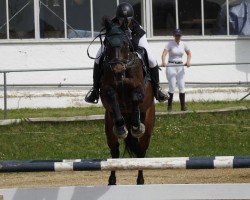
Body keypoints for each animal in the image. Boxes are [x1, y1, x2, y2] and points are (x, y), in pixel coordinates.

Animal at [99, 18, 154, 185]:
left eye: (124, 43)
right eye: (107, 43)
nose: (117, 70)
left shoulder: (140, 89)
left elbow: (136, 97)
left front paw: (136, 126)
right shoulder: (107, 90)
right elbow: (112, 96)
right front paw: (121, 126)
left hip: (148, 125)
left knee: (141, 151)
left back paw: (140, 180)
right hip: (108, 126)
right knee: (114, 151)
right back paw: (111, 180)